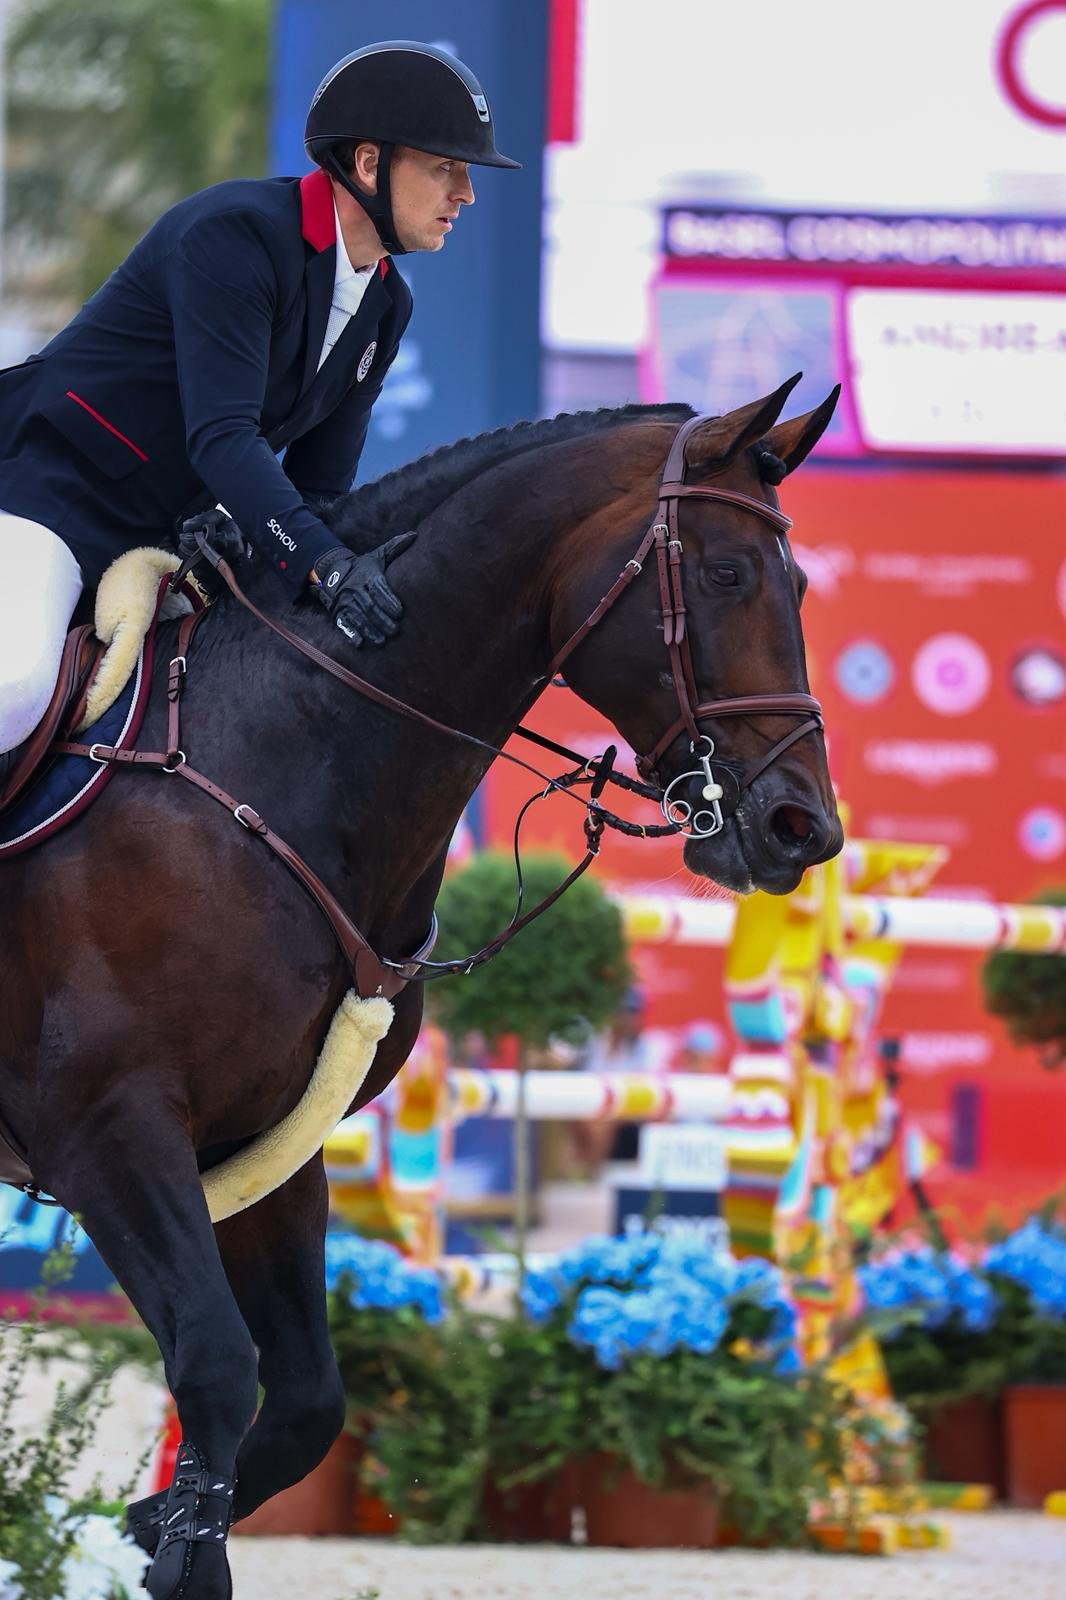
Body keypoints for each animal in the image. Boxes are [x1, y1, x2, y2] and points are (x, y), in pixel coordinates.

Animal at [0, 375, 842, 1597]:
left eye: (800, 585)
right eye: (728, 575)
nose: (802, 830)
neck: (277, 762)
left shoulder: (262, 1145)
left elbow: (301, 1404)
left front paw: (139, 1524)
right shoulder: (107, 1131)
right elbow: (215, 1365)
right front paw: (148, 1542)